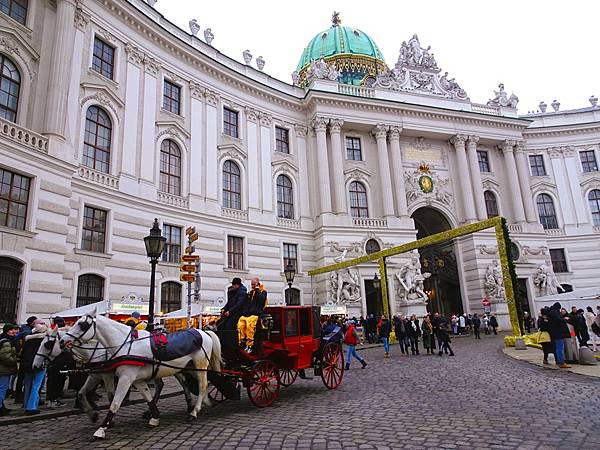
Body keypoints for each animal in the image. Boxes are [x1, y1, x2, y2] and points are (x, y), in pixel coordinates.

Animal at [32, 326, 195, 422]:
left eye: (47, 345)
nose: (35, 366)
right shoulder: (96, 374)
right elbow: (81, 392)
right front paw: (93, 414)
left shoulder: (107, 375)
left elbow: (111, 396)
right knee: (162, 385)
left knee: (183, 383)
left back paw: (189, 405)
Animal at [60, 310, 223, 440]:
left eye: (82, 325)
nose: (62, 341)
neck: (126, 345)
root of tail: (203, 332)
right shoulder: (133, 379)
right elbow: (147, 397)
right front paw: (154, 417)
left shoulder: (124, 378)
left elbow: (115, 402)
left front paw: (101, 429)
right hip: (186, 367)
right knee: (189, 384)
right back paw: (203, 403)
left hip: (200, 365)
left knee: (202, 385)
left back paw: (194, 411)